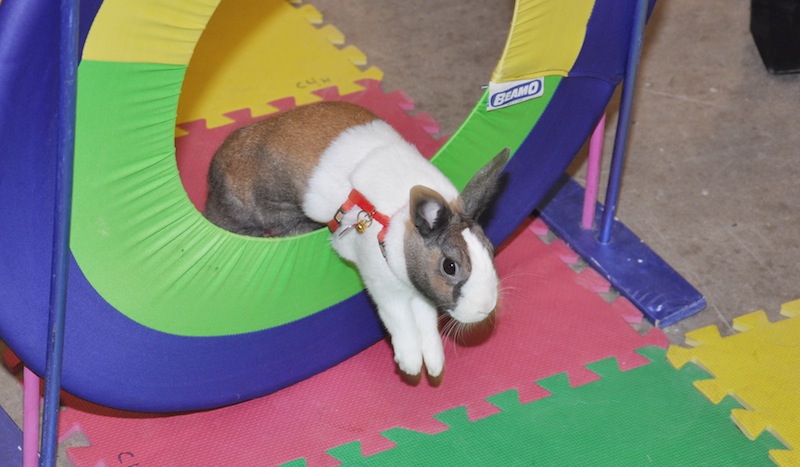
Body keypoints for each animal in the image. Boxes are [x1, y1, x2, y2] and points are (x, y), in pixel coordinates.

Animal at [205, 101, 506, 376]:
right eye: (450, 266)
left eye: (490, 249)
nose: (486, 308)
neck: (398, 219)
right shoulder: (383, 286)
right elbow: (400, 319)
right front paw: (409, 363)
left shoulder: (420, 293)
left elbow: (426, 322)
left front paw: (433, 364)